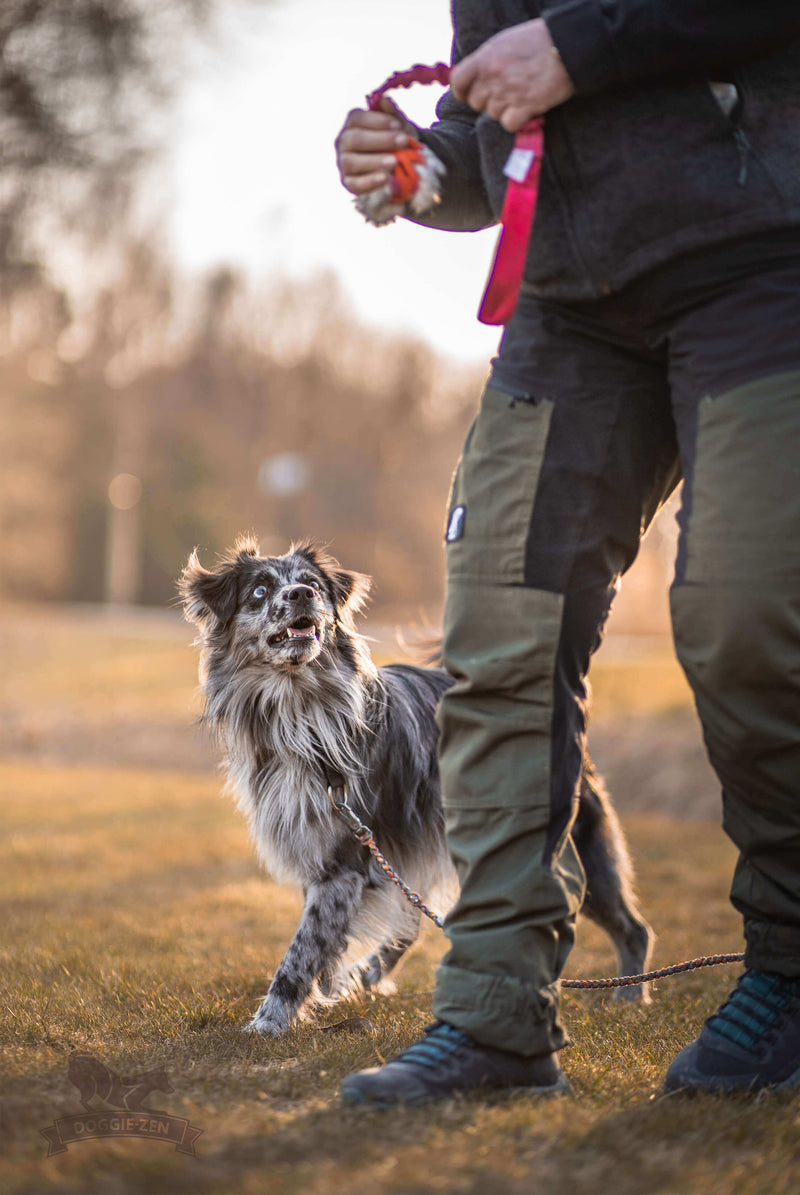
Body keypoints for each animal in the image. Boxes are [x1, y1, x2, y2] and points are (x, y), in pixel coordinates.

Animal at [178, 537, 650, 1032]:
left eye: (312, 585)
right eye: (260, 590)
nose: (302, 595)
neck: (300, 709)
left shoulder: (345, 860)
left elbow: (303, 948)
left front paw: (271, 1020)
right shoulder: (324, 851)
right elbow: (325, 938)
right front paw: (323, 992)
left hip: (568, 844)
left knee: (632, 926)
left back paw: (630, 995)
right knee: (418, 919)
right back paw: (367, 974)